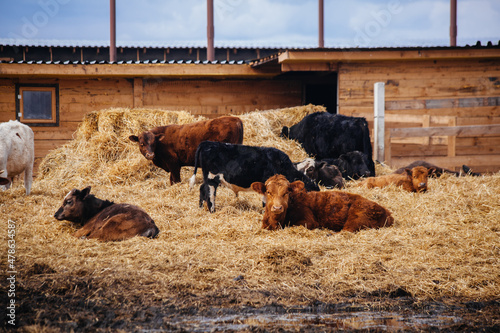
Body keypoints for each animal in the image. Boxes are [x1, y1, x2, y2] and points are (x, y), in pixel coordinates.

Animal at [188, 141, 320, 213]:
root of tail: (208, 143)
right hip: (212, 178)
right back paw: (212, 211)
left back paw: (201, 207)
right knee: (210, 194)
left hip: (208, 177)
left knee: (202, 188)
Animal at [252, 174, 392, 231]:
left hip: (356, 218)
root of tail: (387, 212)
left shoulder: (309, 221)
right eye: (268, 192)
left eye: (286, 192)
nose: (277, 208)